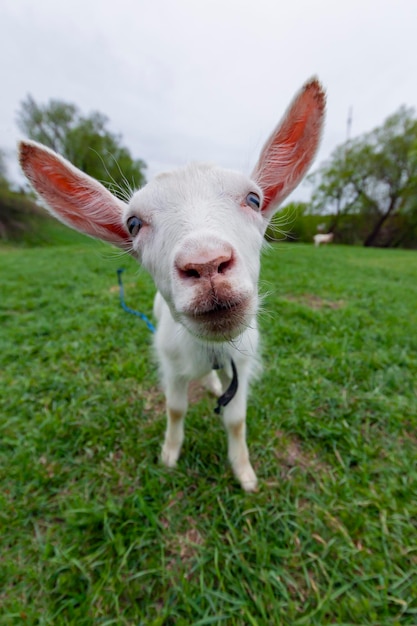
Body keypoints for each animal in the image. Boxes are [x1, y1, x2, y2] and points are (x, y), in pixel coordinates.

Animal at [18, 78, 324, 490]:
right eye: (133, 224)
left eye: (254, 199)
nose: (206, 263)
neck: (209, 350)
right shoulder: (170, 362)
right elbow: (176, 408)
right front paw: (169, 455)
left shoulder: (242, 362)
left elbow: (236, 419)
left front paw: (244, 474)